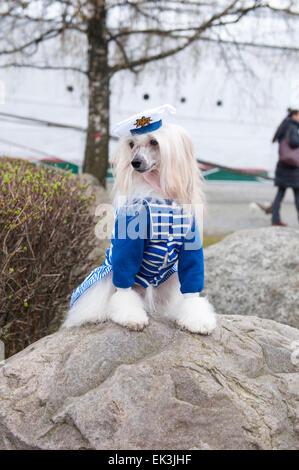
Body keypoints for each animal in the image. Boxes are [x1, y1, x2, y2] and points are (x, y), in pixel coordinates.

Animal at [63, 105, 218, 336]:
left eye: (154, 142)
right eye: (131, 144)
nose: (134, 163)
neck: (160, 195)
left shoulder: (191, 249)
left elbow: (192, 289)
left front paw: (197, 320)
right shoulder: (128, 248)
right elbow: (124, 288)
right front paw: (130, 317)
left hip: (170, 279)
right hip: (107, 276)